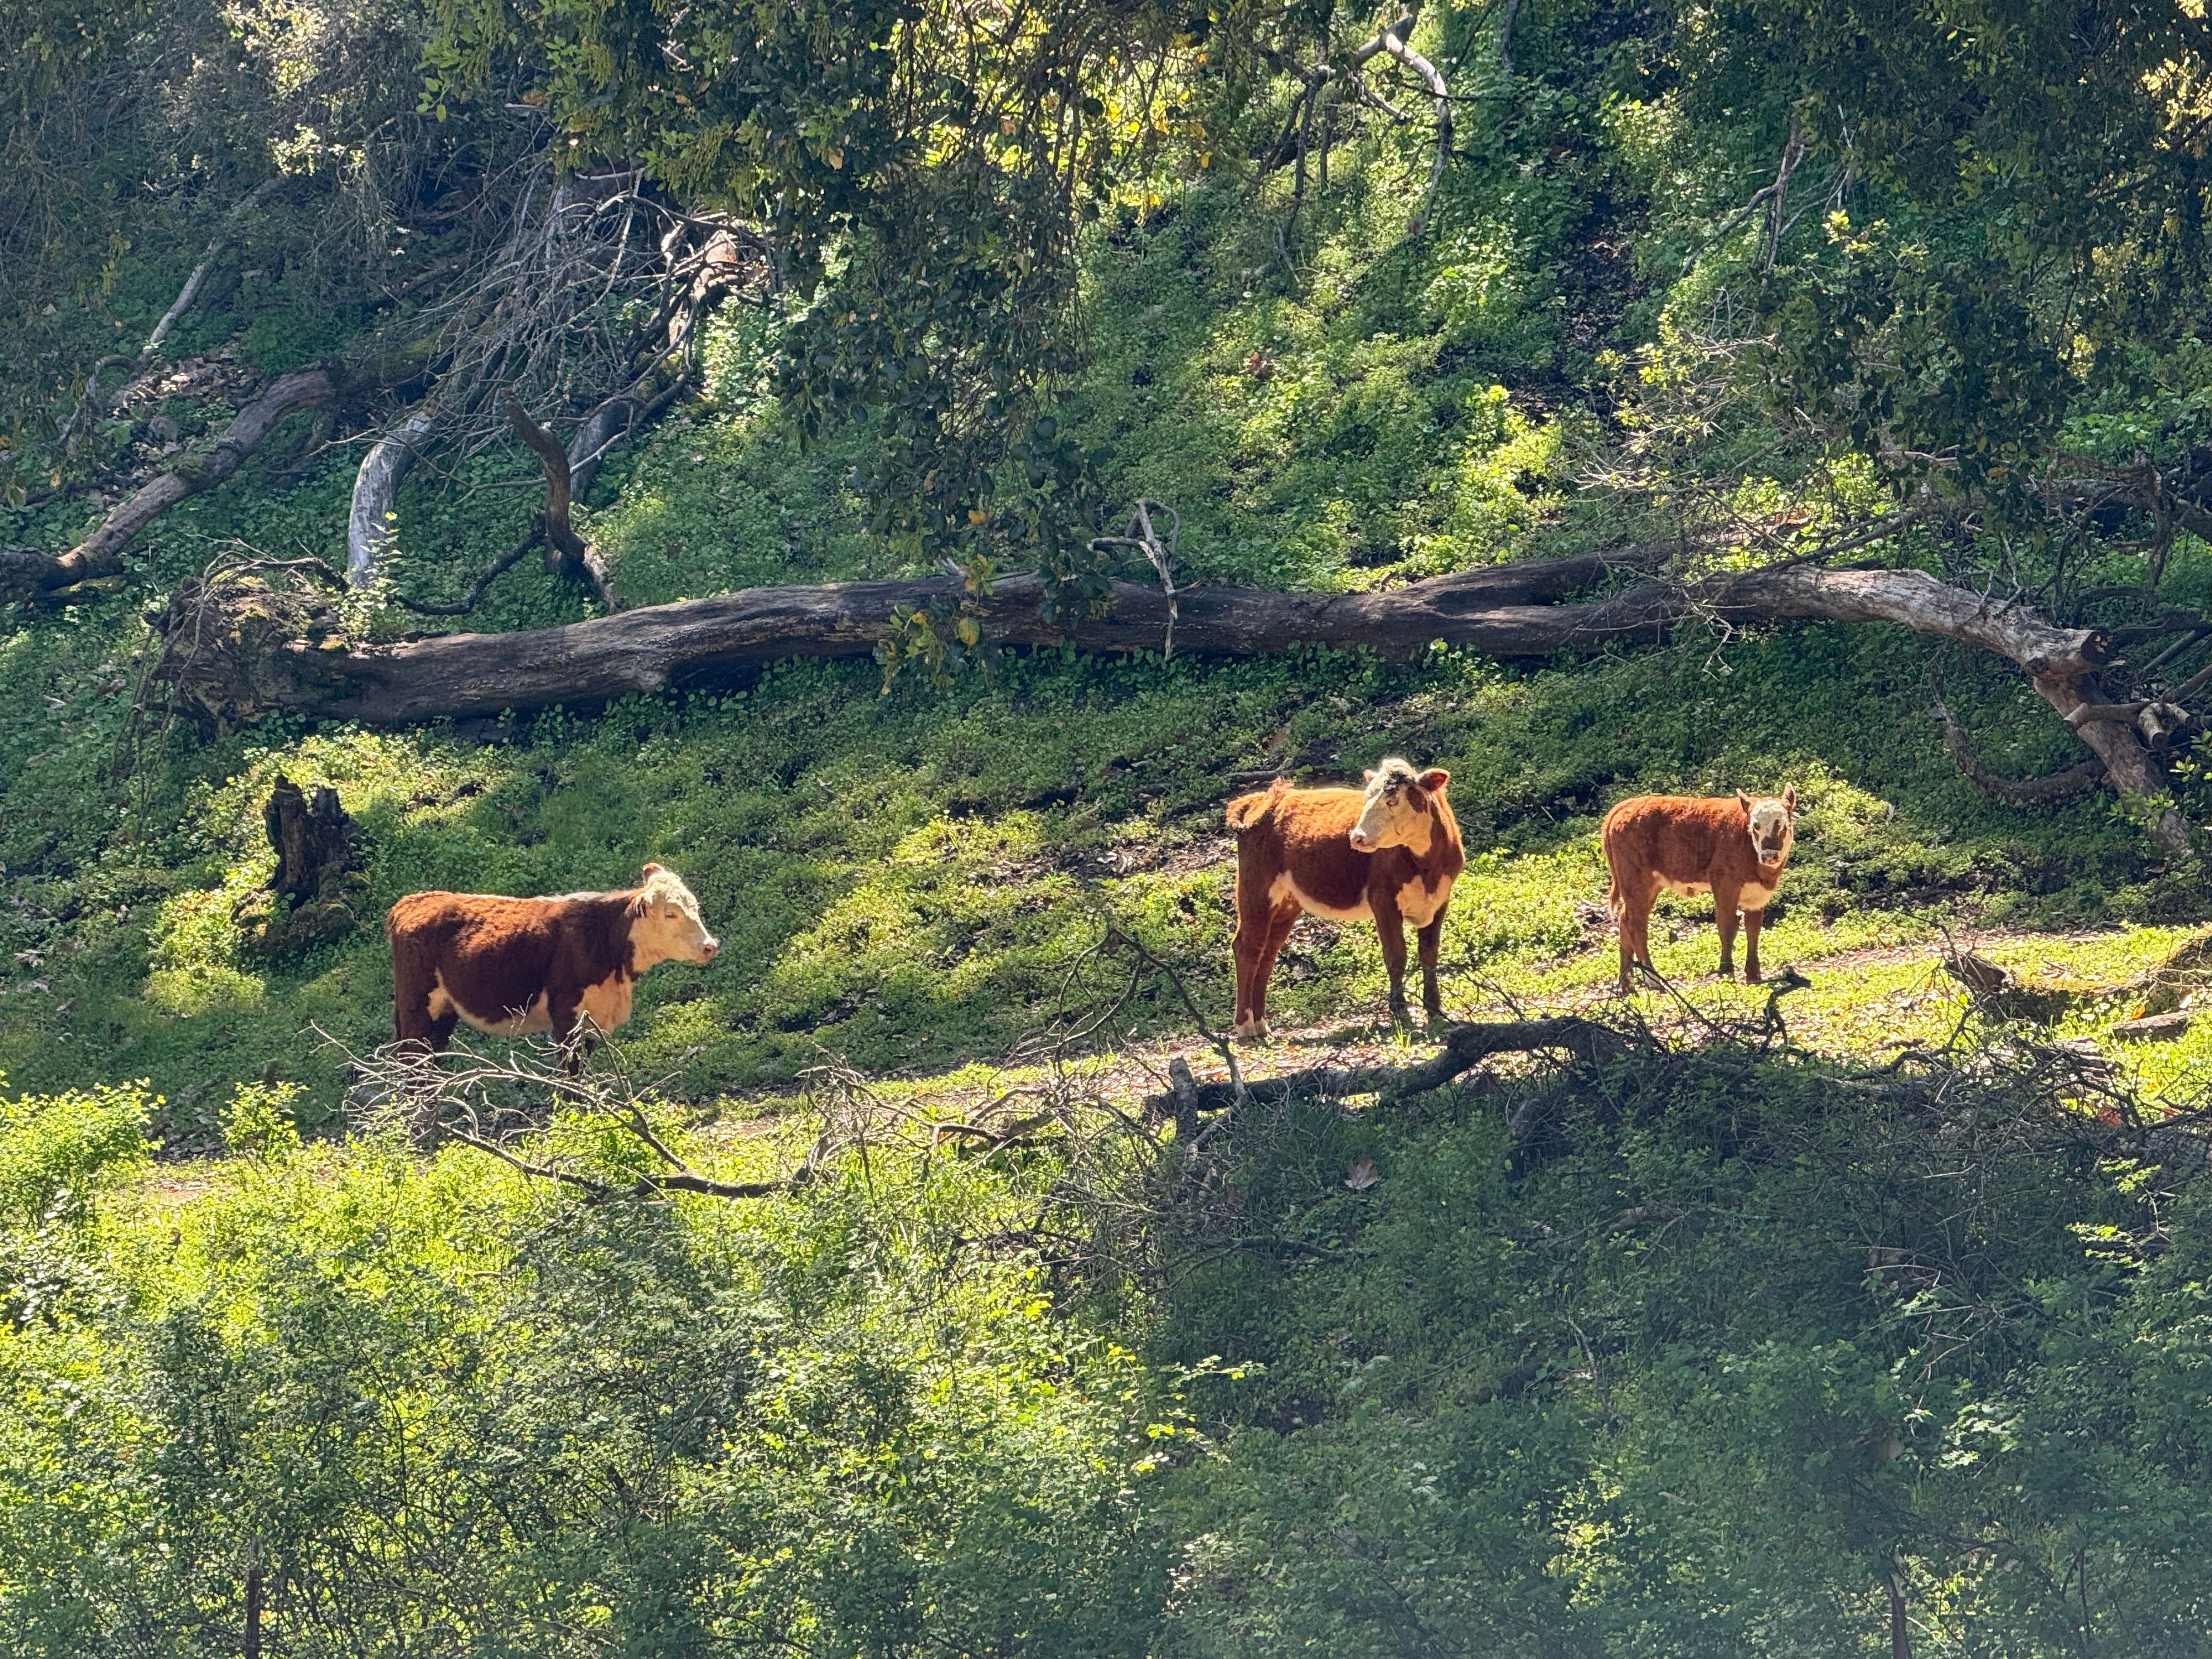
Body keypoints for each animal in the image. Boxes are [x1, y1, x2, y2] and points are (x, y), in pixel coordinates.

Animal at [385, 862, 721, 1070]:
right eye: (670, 914)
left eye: (695, 907)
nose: (710, 945)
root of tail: (413, 901)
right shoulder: (566, 1012)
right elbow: (572, 1074)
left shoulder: (593, 1017)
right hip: (418, 1006)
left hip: (442, 1015)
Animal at [1221, 756, 1460, 1040]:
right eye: (1366, 798)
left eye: (1393, 800)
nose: (1357, 837)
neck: (1427, 867)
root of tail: (1263, 797)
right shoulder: (1383, 899)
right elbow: (1396, 956)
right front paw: (1400, 1013)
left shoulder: (1440, 900)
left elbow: (1429, 955)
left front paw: (1436, 1010)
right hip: (1256, 886)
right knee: (1247, 947)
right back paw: (1246, 1026)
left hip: (1286, 902)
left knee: (1267, 954)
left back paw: (1261, 1024)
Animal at [1610, 787, 1796, 995]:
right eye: (1755, 826)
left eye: (1784, 825)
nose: (1770, 855)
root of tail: (1626, 805)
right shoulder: (1725, 883)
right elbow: (1727, 926)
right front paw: (1726, 973)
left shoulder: (1757, 895)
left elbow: (1753, 930)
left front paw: (1754, 976)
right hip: (1637, 880)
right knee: (1636, 924)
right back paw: (1653, 980)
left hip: (1647, 885)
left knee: (1625, 919)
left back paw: (1627, 984)